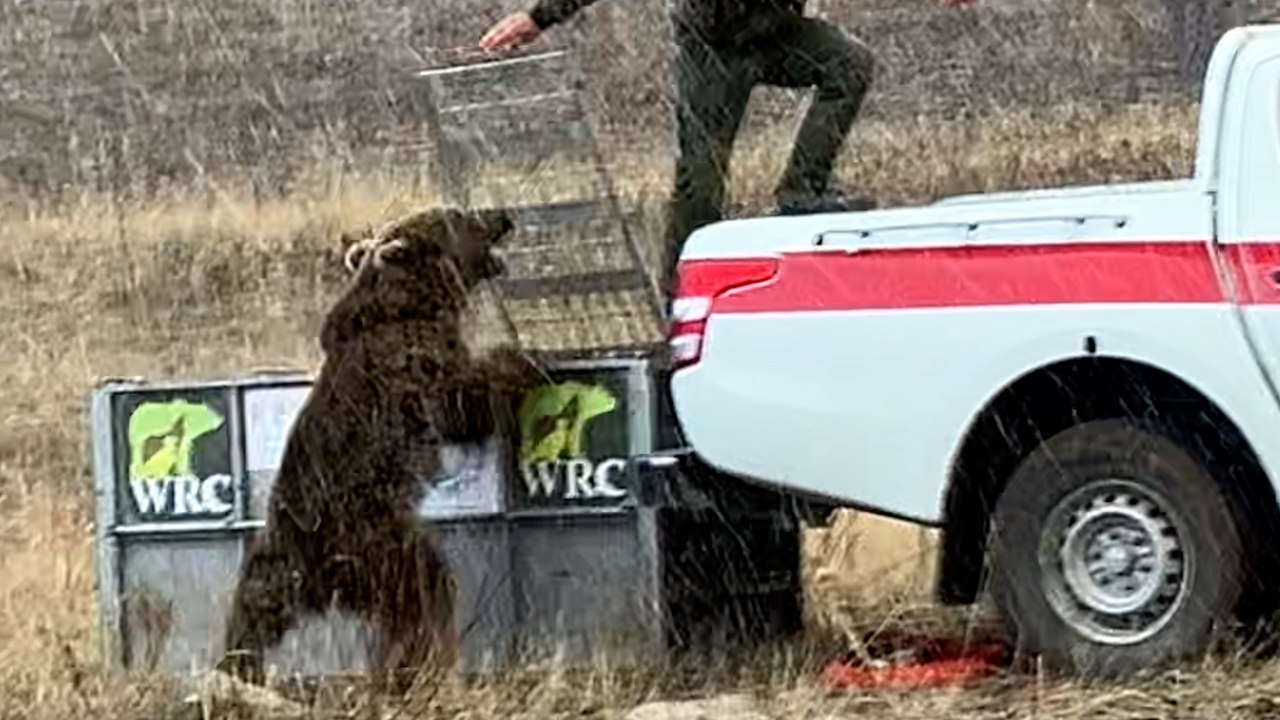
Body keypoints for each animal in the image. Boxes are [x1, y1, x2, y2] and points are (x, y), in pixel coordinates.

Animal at [217, 207, 541, 691]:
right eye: (460, 217)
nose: (502, 215)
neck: (418, 303)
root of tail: (312, 573)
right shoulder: (414, 364)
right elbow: (462, 401)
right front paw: (521, 359)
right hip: (374, 543)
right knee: (425, 590)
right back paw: (420, 663)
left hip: (276, 566)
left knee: (251, 615)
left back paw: (237, 666)